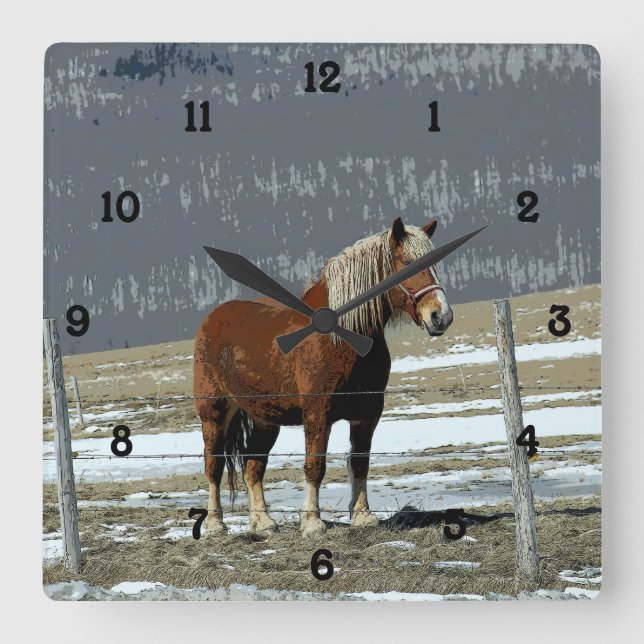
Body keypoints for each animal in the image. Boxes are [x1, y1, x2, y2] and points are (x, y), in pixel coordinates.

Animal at [193, 216, 453, 539]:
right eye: (406, 262)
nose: (440, 316)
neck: (341, 337)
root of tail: (212, 318)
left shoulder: (368, 413)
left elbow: (360, 463)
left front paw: (362, 517)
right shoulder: (318, 413)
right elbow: (315, 465)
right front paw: (312, 523)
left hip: (266, 418)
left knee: (254, 465)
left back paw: (263, 523)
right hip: (214, 412)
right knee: (213, 465)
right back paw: (216, 524)